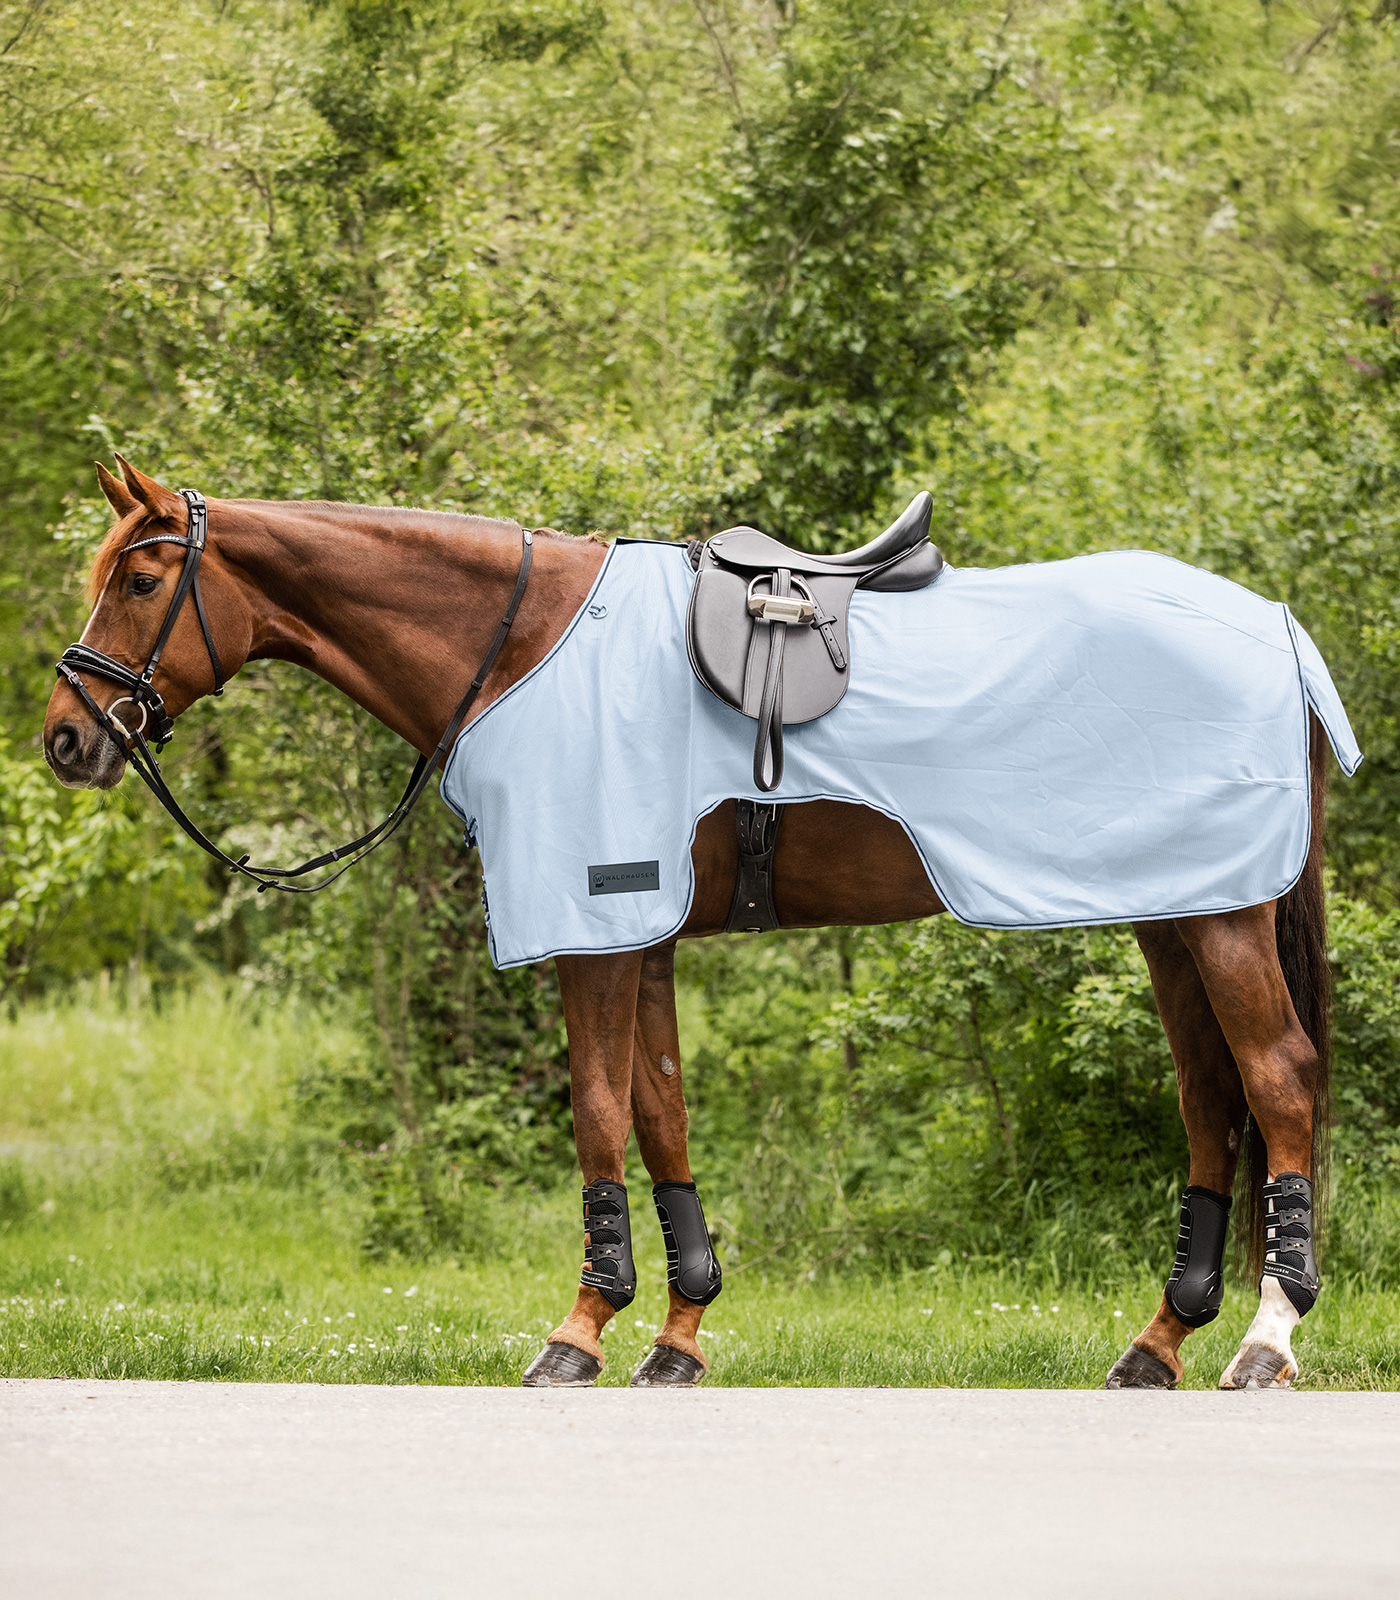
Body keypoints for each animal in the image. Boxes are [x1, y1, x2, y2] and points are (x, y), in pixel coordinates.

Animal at [43, 460, 1337, 1388]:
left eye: (142, 582)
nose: (65, 736)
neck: (523, 646)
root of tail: (1274, 624)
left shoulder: (592, 927)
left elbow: (597, 1115)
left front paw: (578, 1330)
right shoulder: (642, 936)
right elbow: (660, 1113)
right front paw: (677, 1332)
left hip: (1221, 919)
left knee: (1275, 1079)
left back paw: (1264, 1341)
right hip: (1172, 916)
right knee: (1209, 1097)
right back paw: (1156, 1343)